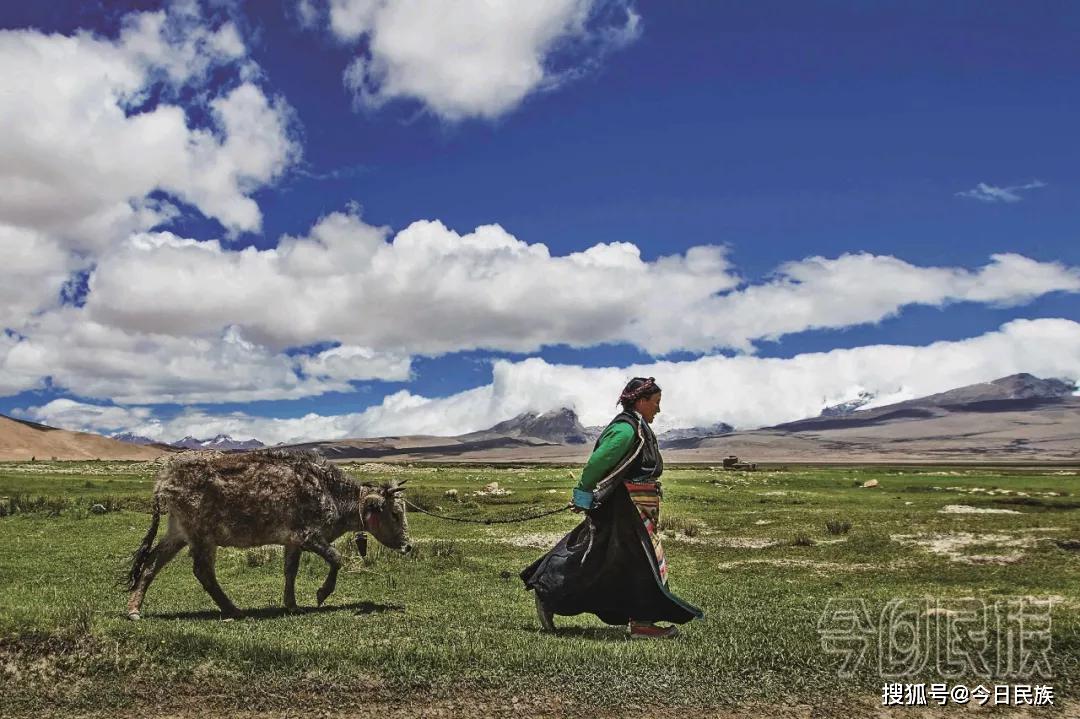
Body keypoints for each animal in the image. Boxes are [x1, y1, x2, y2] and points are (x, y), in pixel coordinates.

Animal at [125, 449, 408, 617]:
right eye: (395, 513)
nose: (408, 545)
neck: (330, 492)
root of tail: (164, 478)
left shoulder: (292, 541)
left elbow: (290, 570)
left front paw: (291, 604)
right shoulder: (309, 535)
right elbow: (336, 558)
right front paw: (321, 594)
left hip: (178, 532)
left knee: (152, 562)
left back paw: (134, 609)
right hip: (202, 535)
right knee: (202, 571)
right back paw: (233, 609)